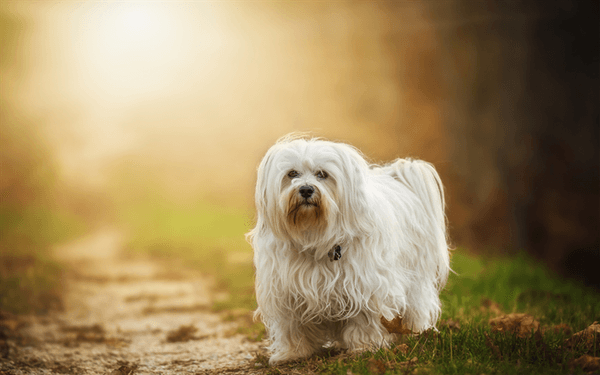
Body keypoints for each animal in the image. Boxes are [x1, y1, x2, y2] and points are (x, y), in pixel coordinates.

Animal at [247, 135, 450, 364]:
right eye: (292, 174)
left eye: (322, 174)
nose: (306, 189)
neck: (314, 234)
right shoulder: (286, 292)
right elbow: (292, 326)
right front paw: (292, 353)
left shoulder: (365, 286)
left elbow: (365, 320)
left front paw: (365, 347)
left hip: (415, 279)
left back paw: (415, 332)